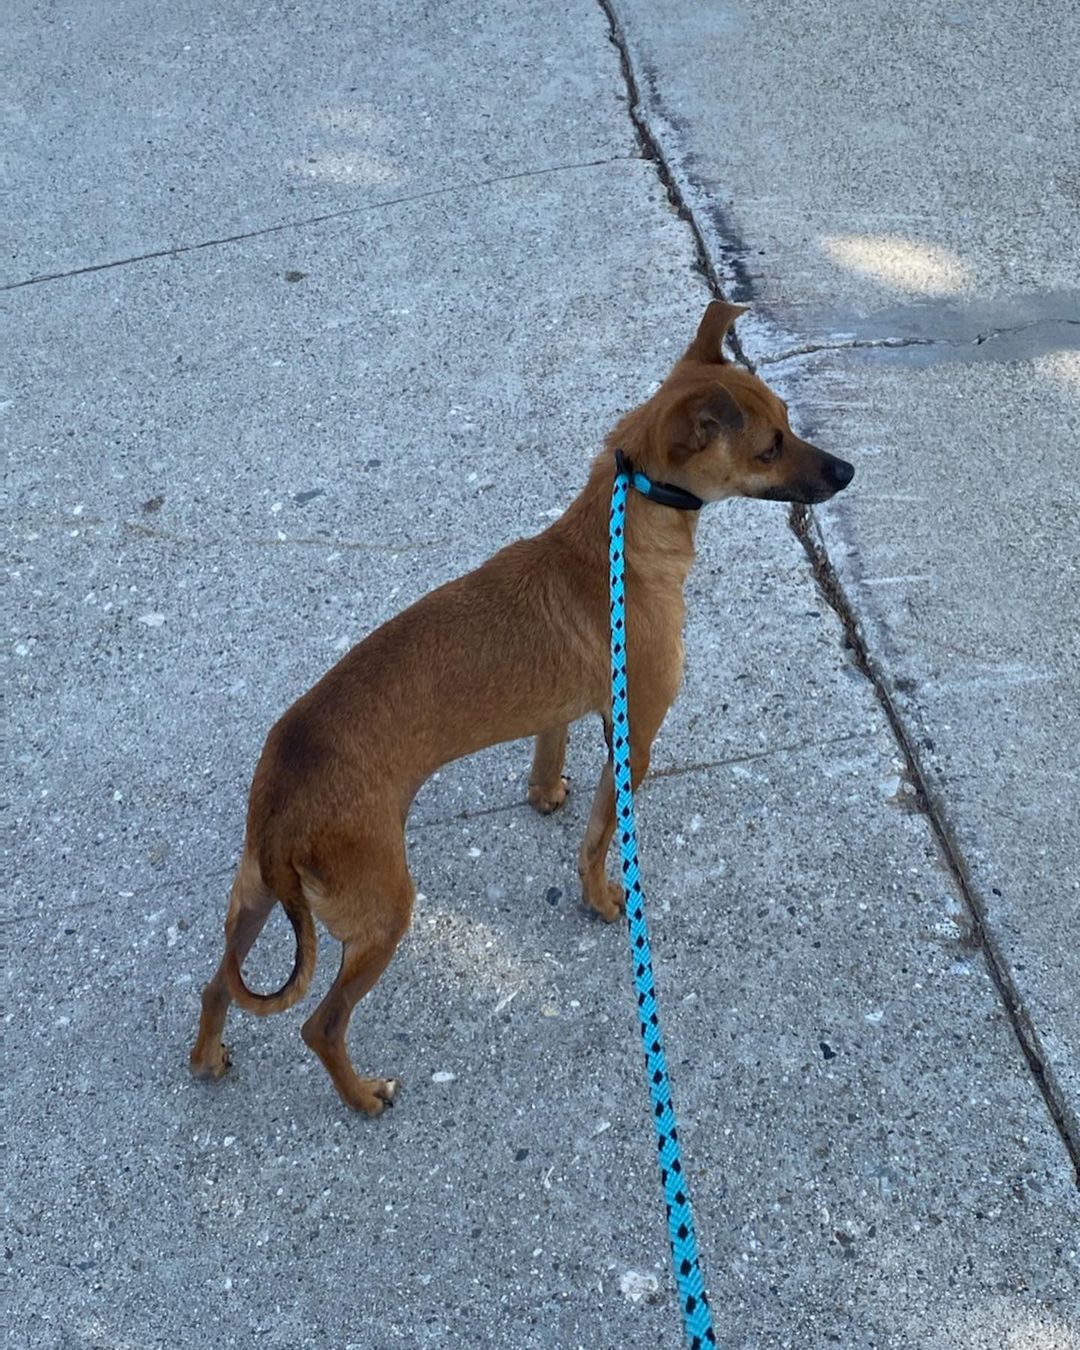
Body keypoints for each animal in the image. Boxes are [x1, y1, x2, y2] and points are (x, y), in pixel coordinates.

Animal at [191, 306, 853, 1117]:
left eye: (789, 422)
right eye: (771, 446)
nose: (847, 472)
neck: (625, 530)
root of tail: (282, 807)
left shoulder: (563, 711)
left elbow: (548, 757)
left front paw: (546, 796)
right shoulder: (635, 735)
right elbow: (601, 839)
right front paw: (601, 899)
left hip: (251, 899)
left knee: (216, 983)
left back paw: (206, 1057)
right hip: (381, 913)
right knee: (320, 1024)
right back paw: (363, 1095)